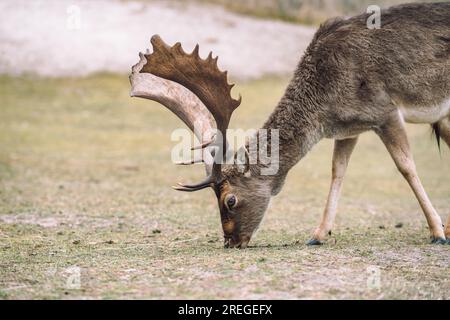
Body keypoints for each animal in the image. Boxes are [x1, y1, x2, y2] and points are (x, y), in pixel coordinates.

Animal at [129, 1, 450, 249]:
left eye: (230, 200)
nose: (230, 241)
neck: (325, 105)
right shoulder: (351, 127)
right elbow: (337, 171)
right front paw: (318, 234)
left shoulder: (385, 109)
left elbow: (406, 166)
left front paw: (436, 232)